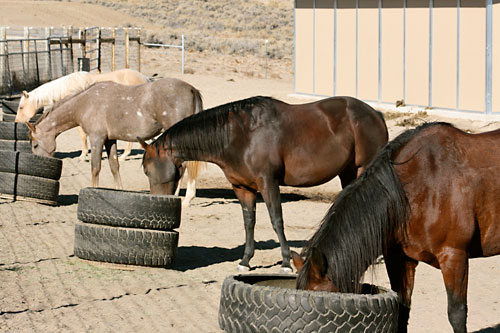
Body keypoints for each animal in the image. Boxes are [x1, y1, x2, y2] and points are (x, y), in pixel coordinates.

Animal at [16, 68, 151, 160]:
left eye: (21, 107)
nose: (16, 122)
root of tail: (145, 78)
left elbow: (82, 135)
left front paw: (83, 155)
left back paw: (124, 156)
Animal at [26, 78, 203, 208]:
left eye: (35, 145)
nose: (39, 163)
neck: (85, 103)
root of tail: (192, 90)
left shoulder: (96, 139)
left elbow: (95, 168)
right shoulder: (110, 140)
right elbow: (114, 166)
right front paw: (119, 190)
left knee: (185, 165)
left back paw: (183, 197)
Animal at [139, 94, 388, 272]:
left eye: (147, 169)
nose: (157, 202)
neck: (240, 136)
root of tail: (375, 114)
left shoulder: (268, 183)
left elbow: (276, 220)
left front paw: (286, 262)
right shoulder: (242, 188)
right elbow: (249, 222)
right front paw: (245, 260)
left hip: (364, 169)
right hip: (348, 173)